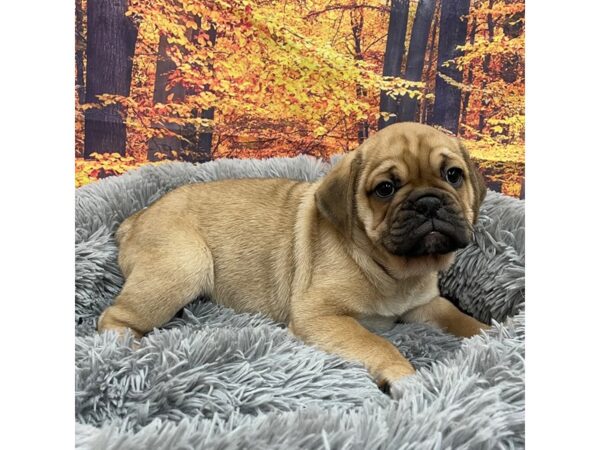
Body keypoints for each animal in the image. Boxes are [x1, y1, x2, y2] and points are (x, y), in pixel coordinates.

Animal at [98, 121, 490, 392]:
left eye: (453, 175)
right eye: (385, 189)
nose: (428, 202)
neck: (393, 271)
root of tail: (135, 220)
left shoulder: (426, 305)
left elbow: (460, 318)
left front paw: (491, 335)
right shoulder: (320, 316)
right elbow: (376, 342)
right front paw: (406, 378)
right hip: (182, 267)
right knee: (114, 318)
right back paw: (128, 350)